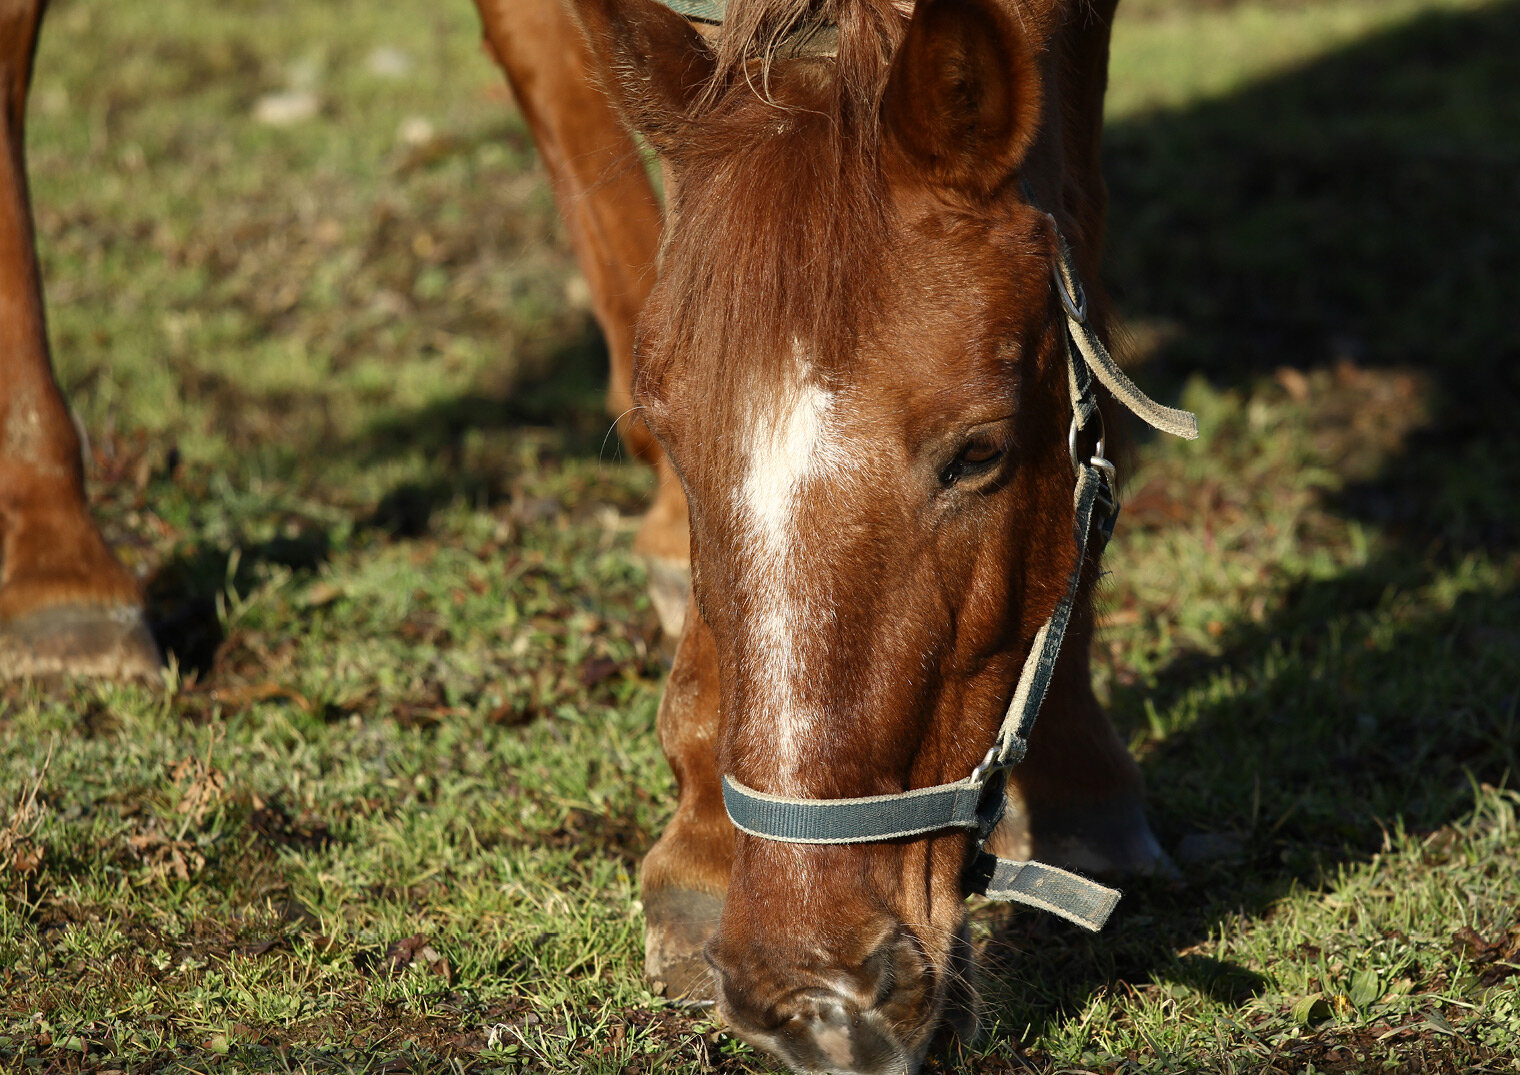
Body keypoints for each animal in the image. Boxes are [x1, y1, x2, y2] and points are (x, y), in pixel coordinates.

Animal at [0, 0, 1179, 1070]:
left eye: (980, 454)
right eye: (680, 441)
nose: (813, 994)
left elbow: (1073, 212)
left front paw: (1075, 770)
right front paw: (703, 837)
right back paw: (59, 573)